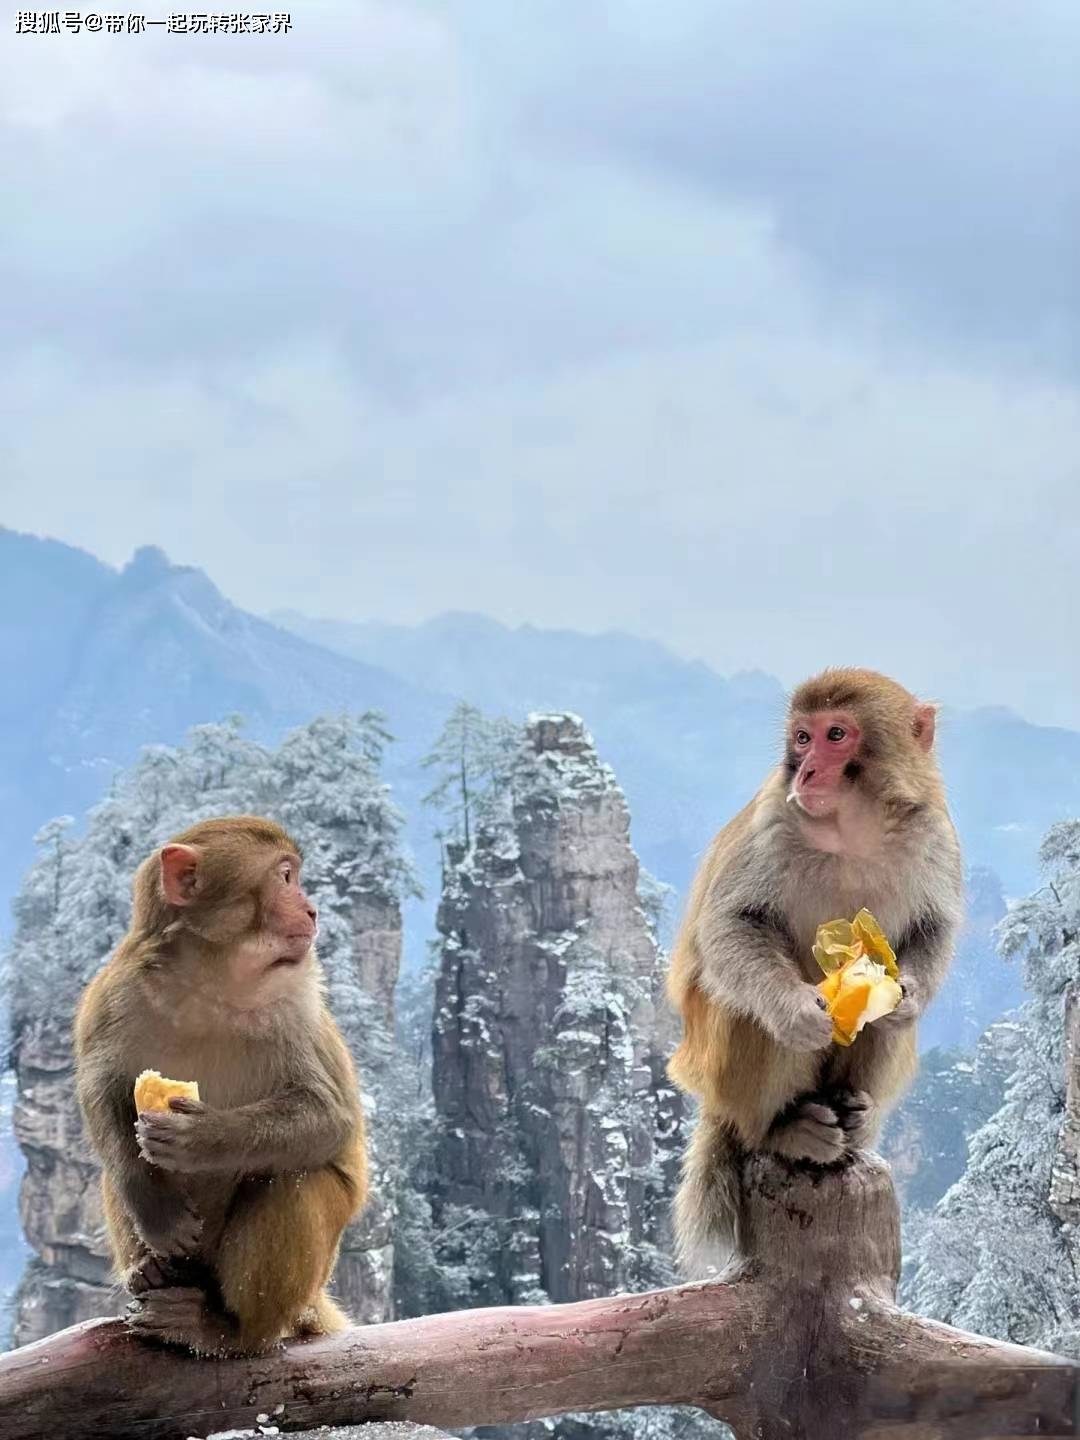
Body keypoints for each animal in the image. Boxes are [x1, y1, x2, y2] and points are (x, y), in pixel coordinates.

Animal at [73, 817, 368, 1353]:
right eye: (286, 877)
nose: (311, 909)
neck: (212, 980)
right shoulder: (116, 990)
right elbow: (100, 1087)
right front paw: (153, 1204)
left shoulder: (299, 999)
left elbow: (329, 1117)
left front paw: (204, 1139)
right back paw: (150, 1273)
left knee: (294, 1179)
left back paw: (227, 1330)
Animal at [668, 668, 961, 1278]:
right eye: (802, 738)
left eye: (836, 735)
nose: (805, 770)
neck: (853, 826)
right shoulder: (772, 823)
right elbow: (731, 925)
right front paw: (794, 1010)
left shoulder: (934, 833)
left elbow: (934, 927)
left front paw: (910, 996)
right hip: (717, 1072)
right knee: (748, 1017)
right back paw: (784, 1131)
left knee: (881, 1026)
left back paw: (856, 1113)